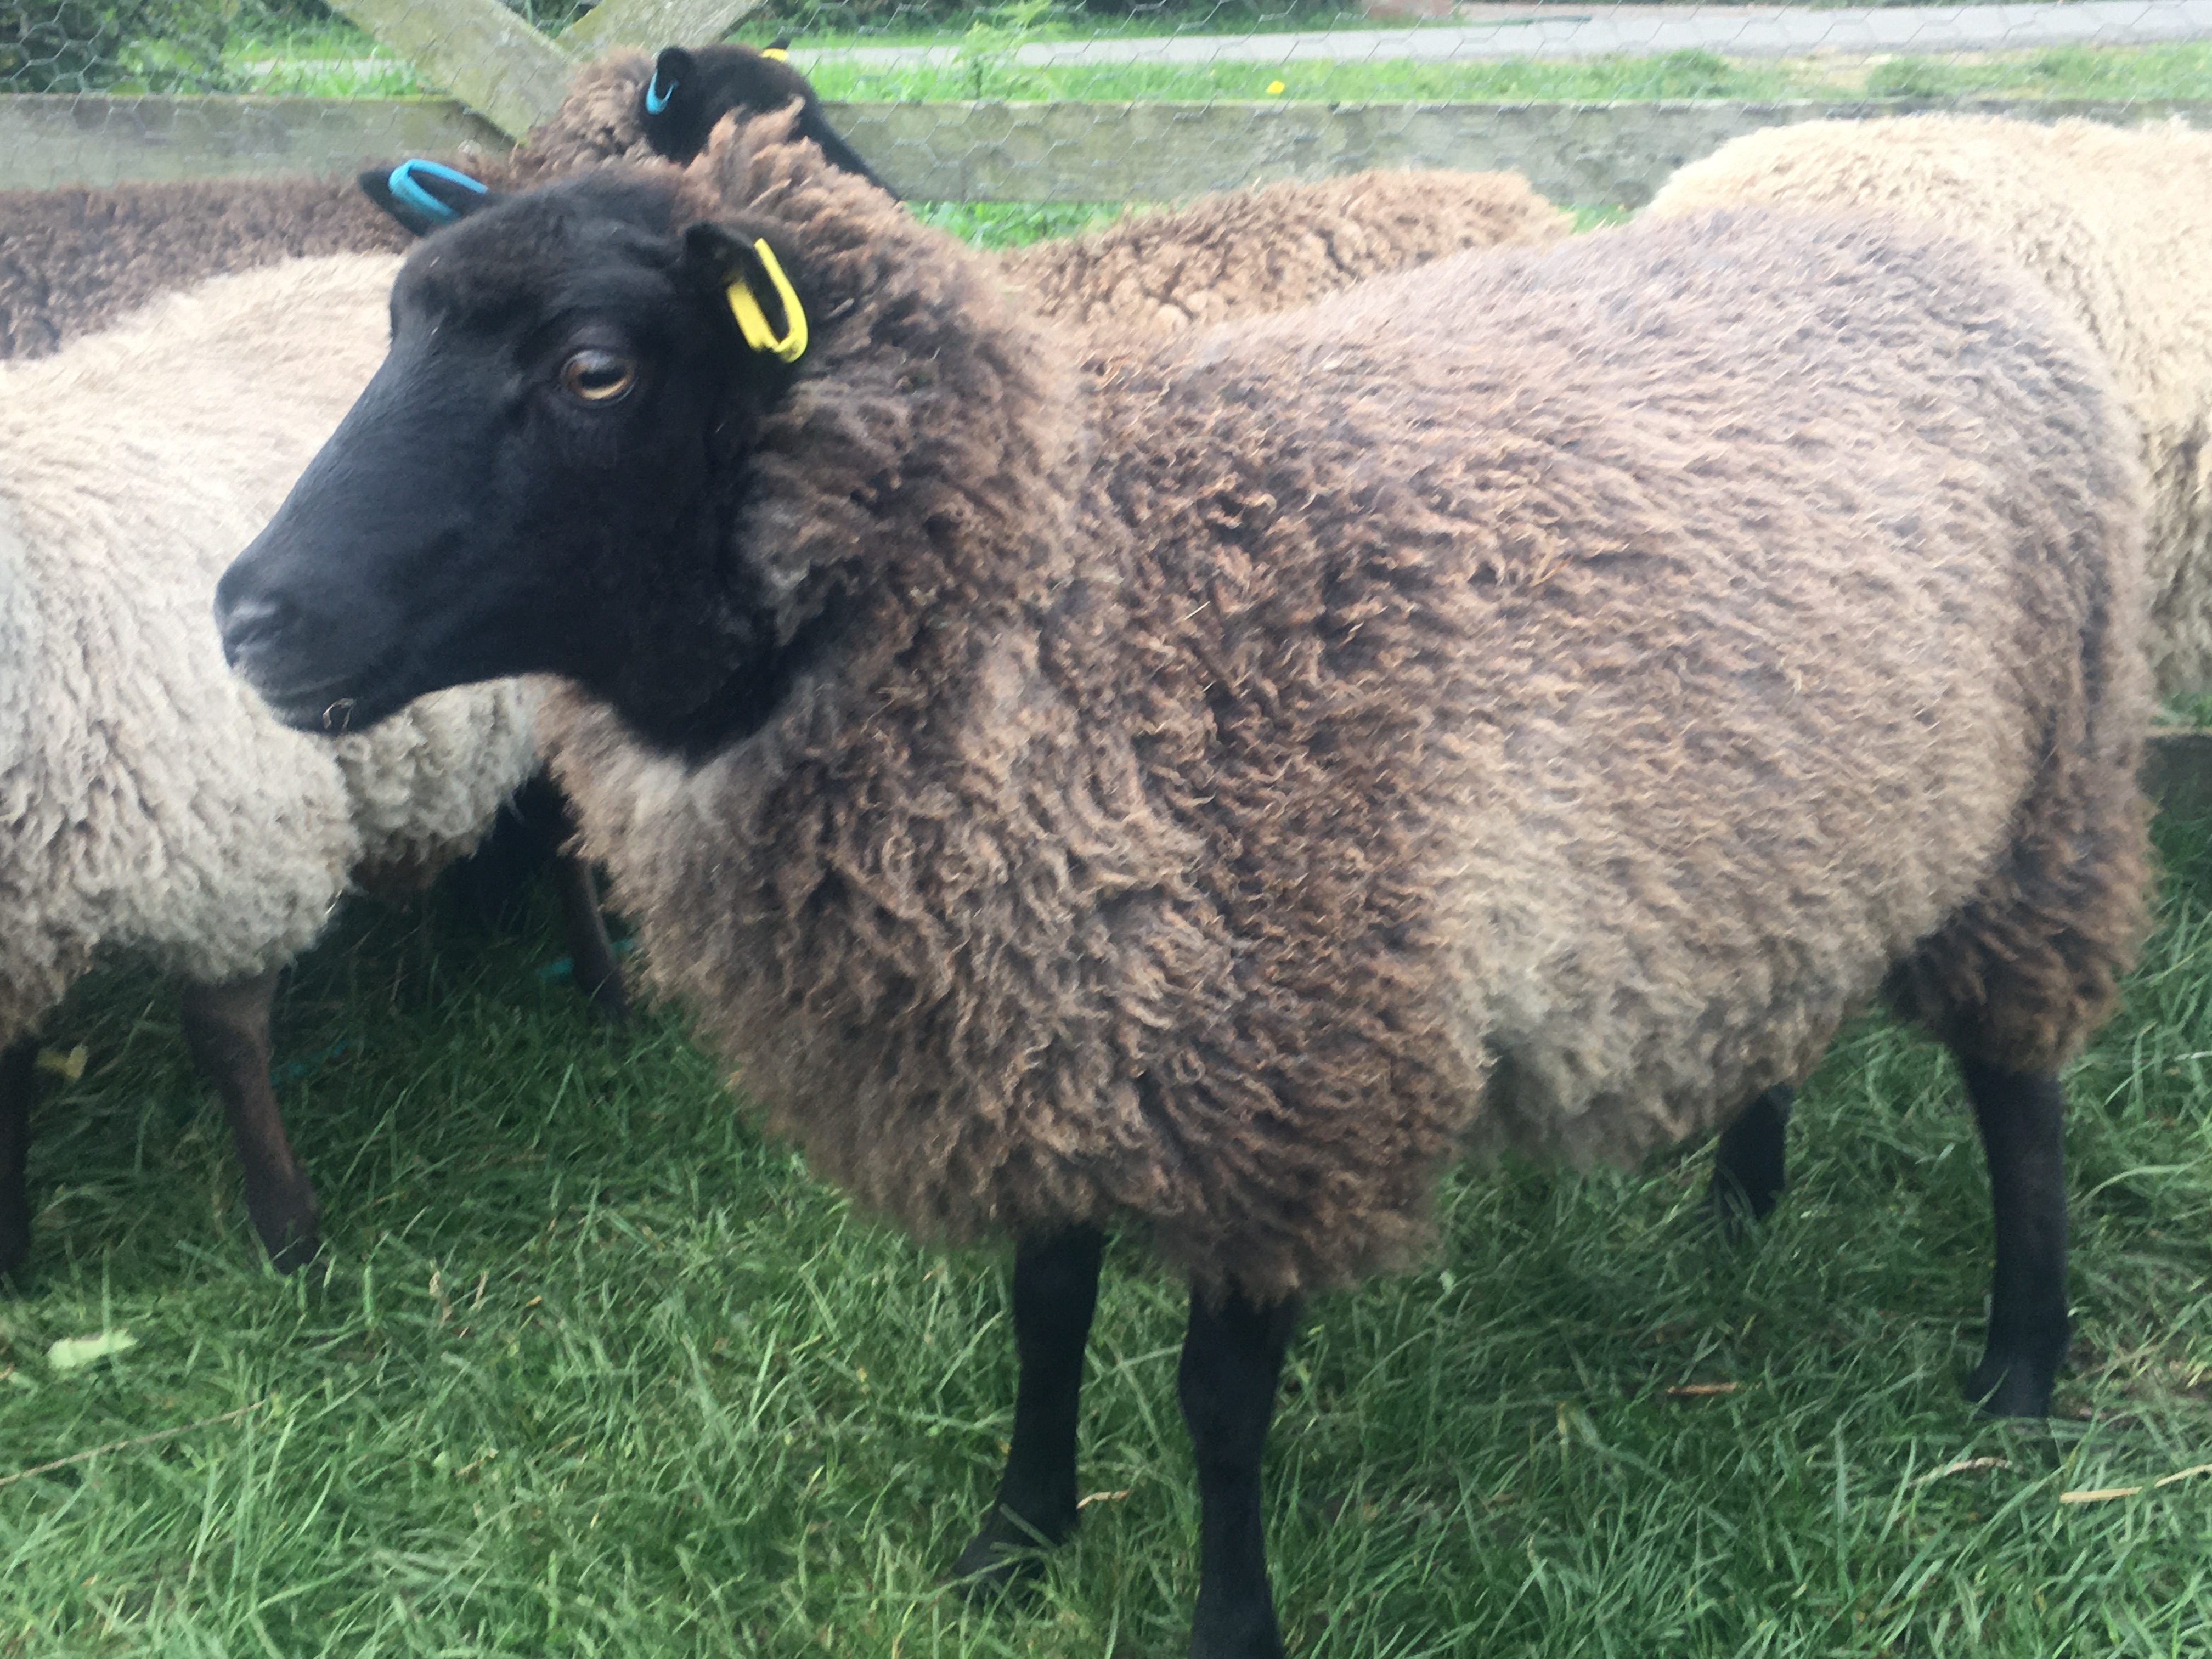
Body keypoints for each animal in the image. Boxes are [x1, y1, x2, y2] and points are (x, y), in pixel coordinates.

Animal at [214, 118, 2152, 1656]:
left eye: (596, 369)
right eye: (394, 330)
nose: (247, 618)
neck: (1079, 613)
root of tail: (1928, 253)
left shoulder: (1281, 1071)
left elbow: (1219, 1406)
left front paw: (1227, 1625)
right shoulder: (1037, 1016)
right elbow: (1044, 1311)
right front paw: (1016, 1537)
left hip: (2043, 808)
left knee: (2021, 1097)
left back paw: (2018, 1376)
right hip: (1778, 835)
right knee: (1784, 1005)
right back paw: (1743, 1206)